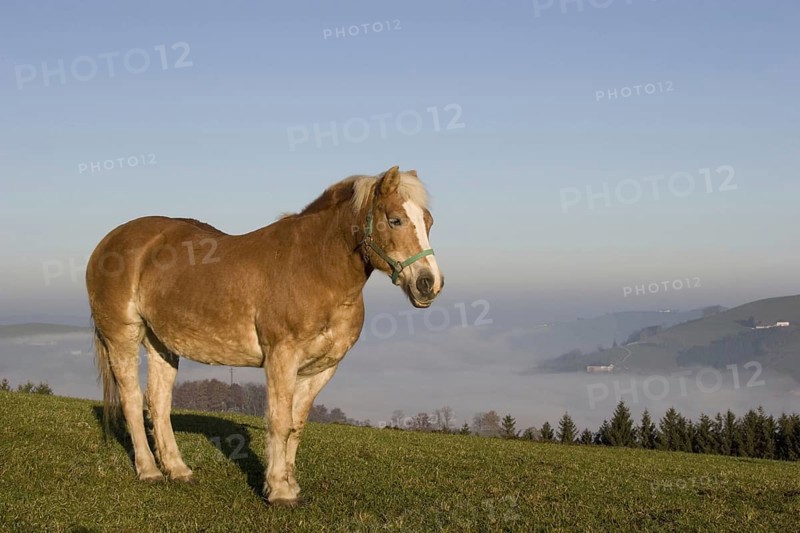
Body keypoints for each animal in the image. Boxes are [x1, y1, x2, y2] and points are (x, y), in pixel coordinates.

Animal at [85, 166, 443, 505]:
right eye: (395, 219)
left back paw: (177, 470)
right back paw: (149, 471)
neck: (315, 269)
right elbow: (279, 422)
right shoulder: (281, 358)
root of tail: (109, 242)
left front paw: (290, 484)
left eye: (428, 221)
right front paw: (279, 492)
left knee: (158, 403)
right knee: (132, 401)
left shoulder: (320, 368)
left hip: (161, 344)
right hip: (122, 337)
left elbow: (296, 426)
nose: (429, 283)